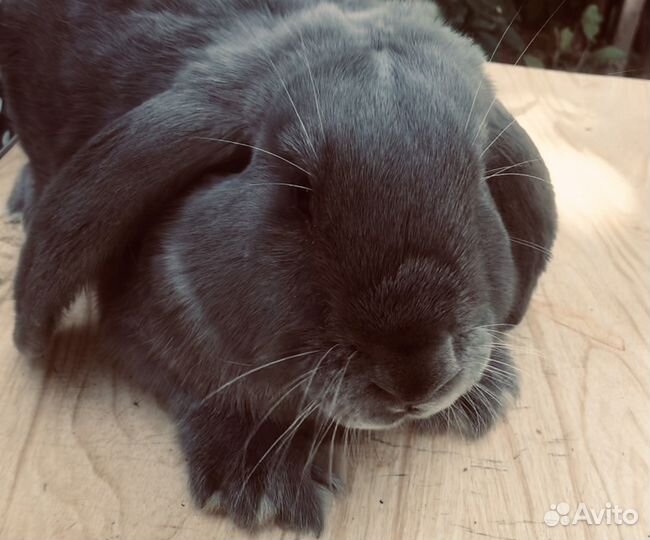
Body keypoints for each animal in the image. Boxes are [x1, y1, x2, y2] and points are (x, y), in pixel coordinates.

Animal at [1, 0, 557, 533]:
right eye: (299, 192)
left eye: (479, 179)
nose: (417, 377)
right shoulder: (136, 328)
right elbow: (208, 386)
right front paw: (262, 481)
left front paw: (484, 395)